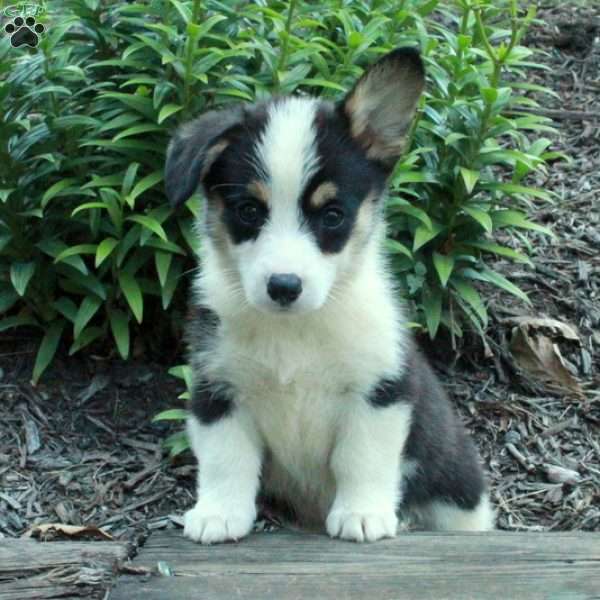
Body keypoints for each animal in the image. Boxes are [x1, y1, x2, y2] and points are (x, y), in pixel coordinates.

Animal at [164, 47, 492, 544]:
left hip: (457, 495)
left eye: (333, 215)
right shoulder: (217, 390)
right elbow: (226, 459)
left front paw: (362, 514)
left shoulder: (379, 391)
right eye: (248, 210)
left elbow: (361, 457)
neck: (294, 332)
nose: (284, 286)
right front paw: (218, 515)